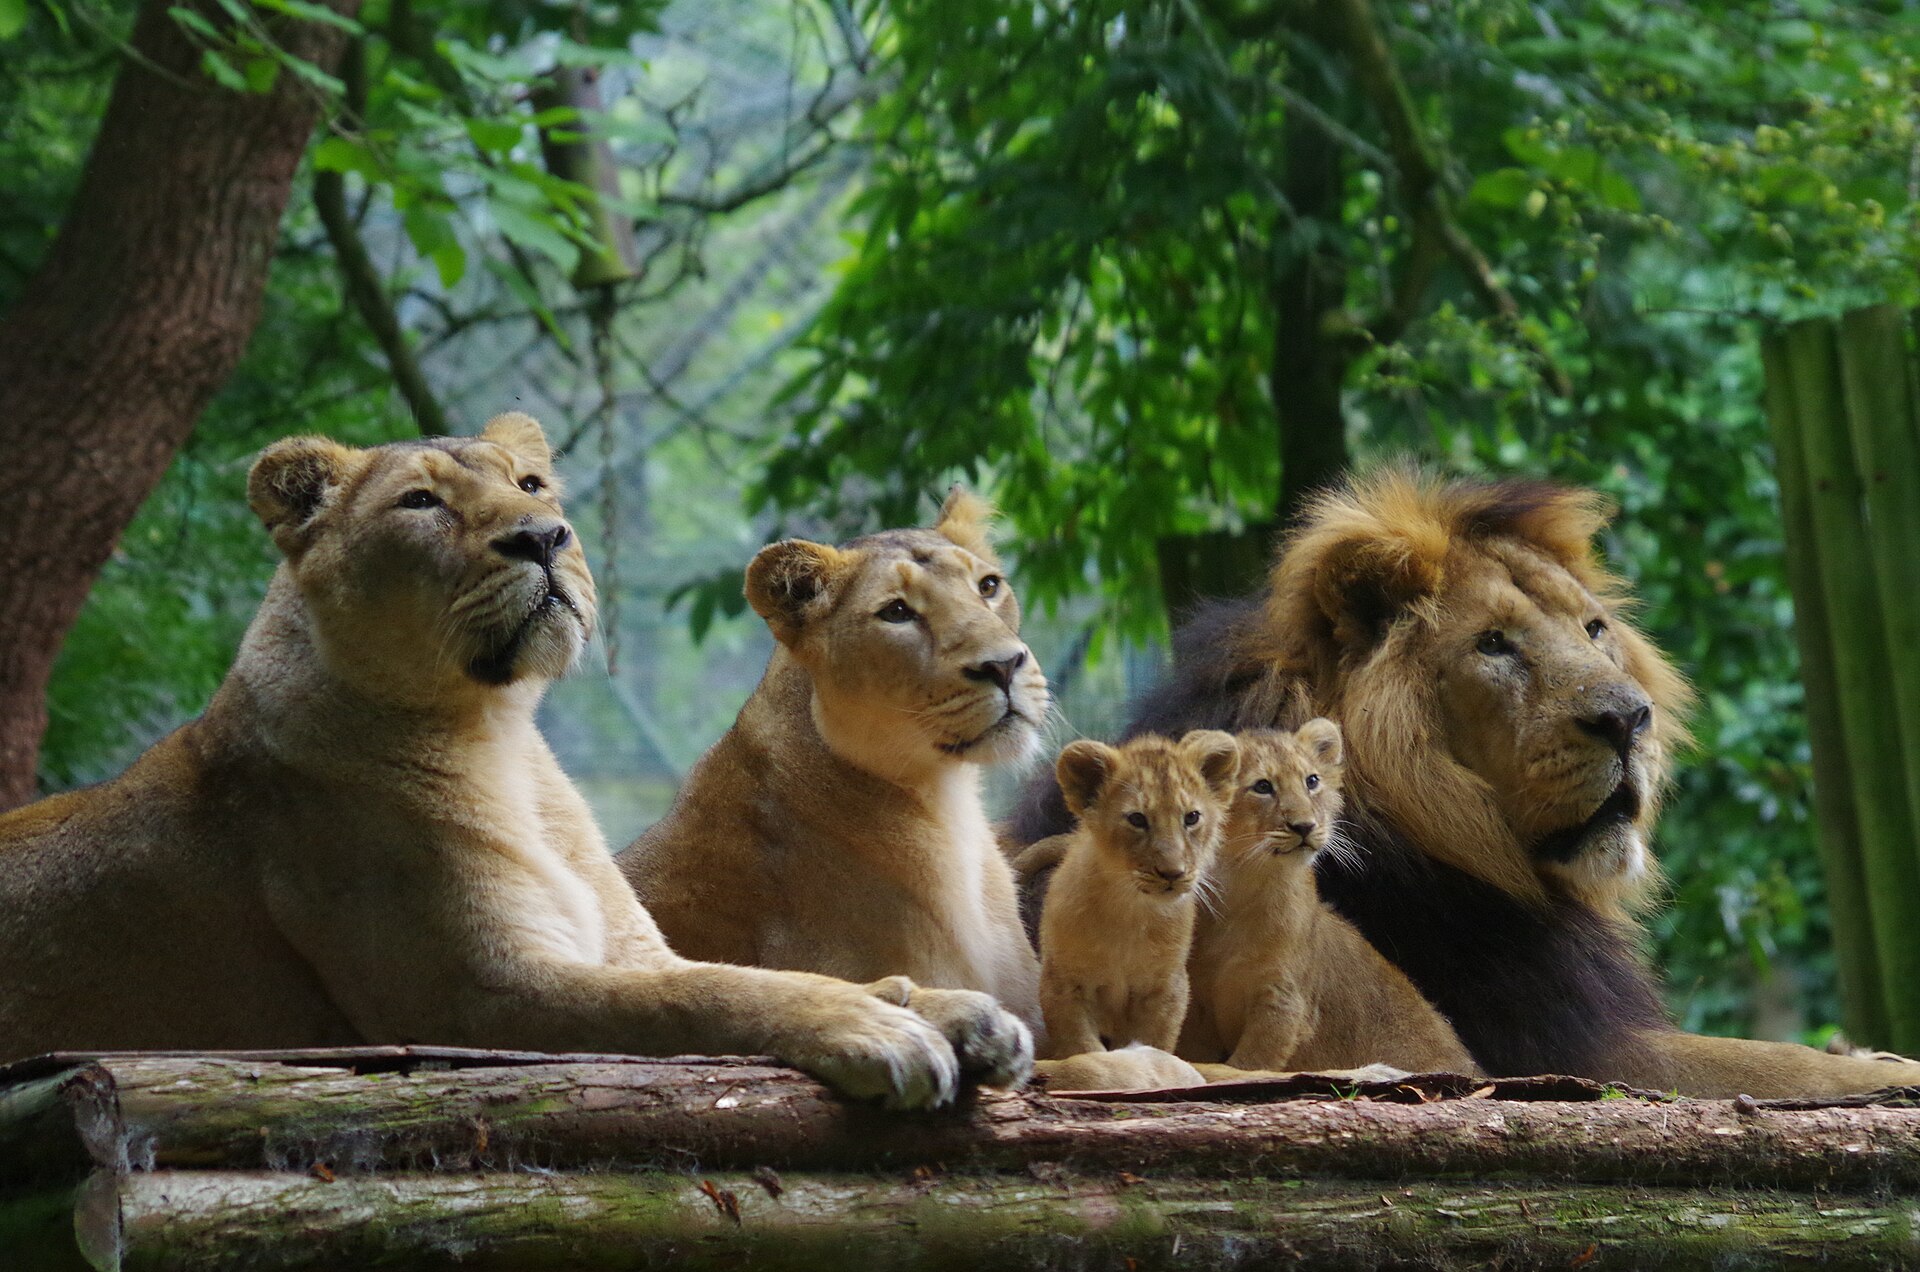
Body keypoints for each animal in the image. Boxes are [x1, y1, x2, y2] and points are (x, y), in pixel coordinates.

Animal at [1034, 731, 1239, 1058]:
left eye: (1192, 817)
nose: (1173, 873)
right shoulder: (1062, 983)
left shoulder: (1166, 988)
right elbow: (1082, 1046)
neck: (1131, 910)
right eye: (1137, 819)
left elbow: (1154, 1043)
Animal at [1179, 722, 1477, 1074]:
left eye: (1312, 781)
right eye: (1262, 786)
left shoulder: (1285, 1000)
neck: (1242, 883)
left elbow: (1254, 1062)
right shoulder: (1198, 1003)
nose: (1305, 826)